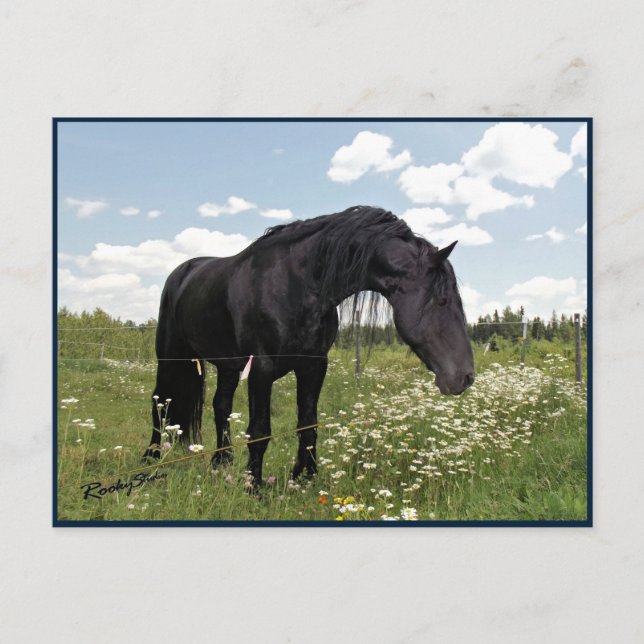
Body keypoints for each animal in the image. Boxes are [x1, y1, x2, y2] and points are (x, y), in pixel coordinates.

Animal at [144, 206, 474, 486]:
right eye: (443, 300)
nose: (466, 377)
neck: (296, 285)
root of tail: (183, 272)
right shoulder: (262, 368)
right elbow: (260, 431)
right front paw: (254, 486)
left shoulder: (314, 365)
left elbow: (308, 424)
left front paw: (305, 477)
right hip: (170, 356)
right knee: (159, 400)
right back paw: (152, 458)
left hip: (229, 365)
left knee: (220, 406)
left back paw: (221, 462)